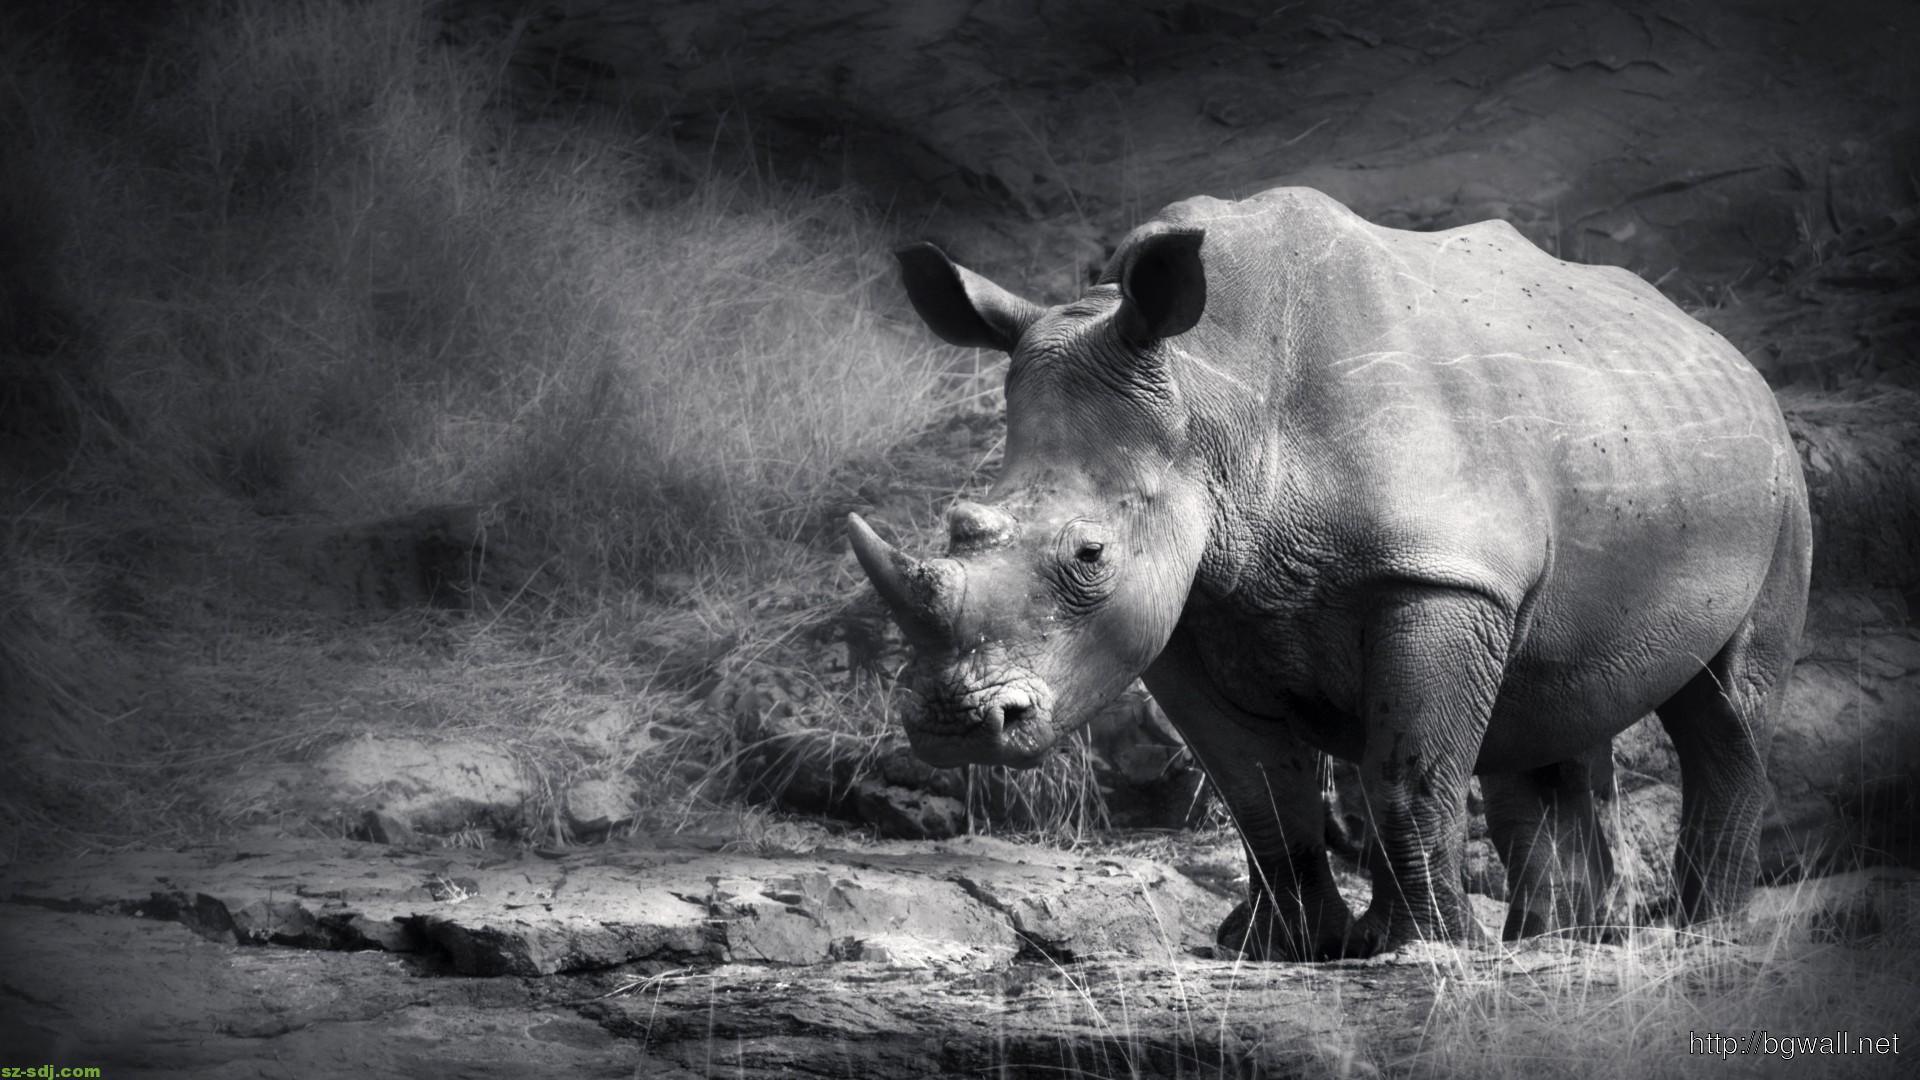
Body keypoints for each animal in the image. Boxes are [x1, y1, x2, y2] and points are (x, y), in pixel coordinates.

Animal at [849, 187, 1810, 960]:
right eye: (958, 525)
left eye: (1091, 555)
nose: (954, 726)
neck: (1213, 398)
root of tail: (1720, 345)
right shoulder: (1189, 614)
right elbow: (1262, 796)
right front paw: (1283, 949)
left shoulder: (1437, 574)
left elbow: (1406, 775)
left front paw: (1429, 951)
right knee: (1546, 711)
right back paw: (1561, 940)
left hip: (1776, 478)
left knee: (1724, 707)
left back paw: (1698, 932)